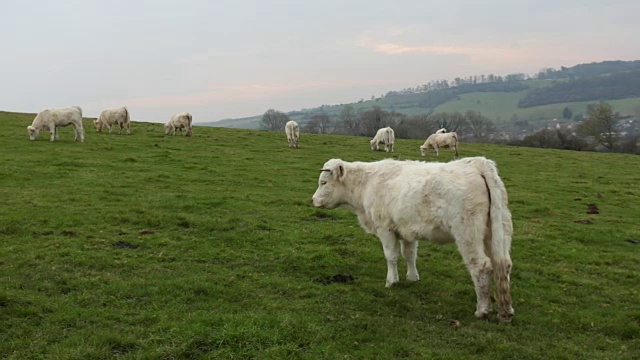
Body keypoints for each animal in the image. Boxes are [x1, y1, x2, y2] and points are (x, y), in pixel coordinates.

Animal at [312, 158, 516, 324]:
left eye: (323, 182)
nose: (313, 199)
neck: (367, 184)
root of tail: (477, 163)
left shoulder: (385, 228)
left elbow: (391, 256)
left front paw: (391, 281)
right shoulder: (407, 231)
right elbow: (409, 255)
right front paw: (412, 277)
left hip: (468, 233)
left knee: (480, 266)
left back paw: (482, 310)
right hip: (498, 231)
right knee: (503, 265)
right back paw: (506, 311)